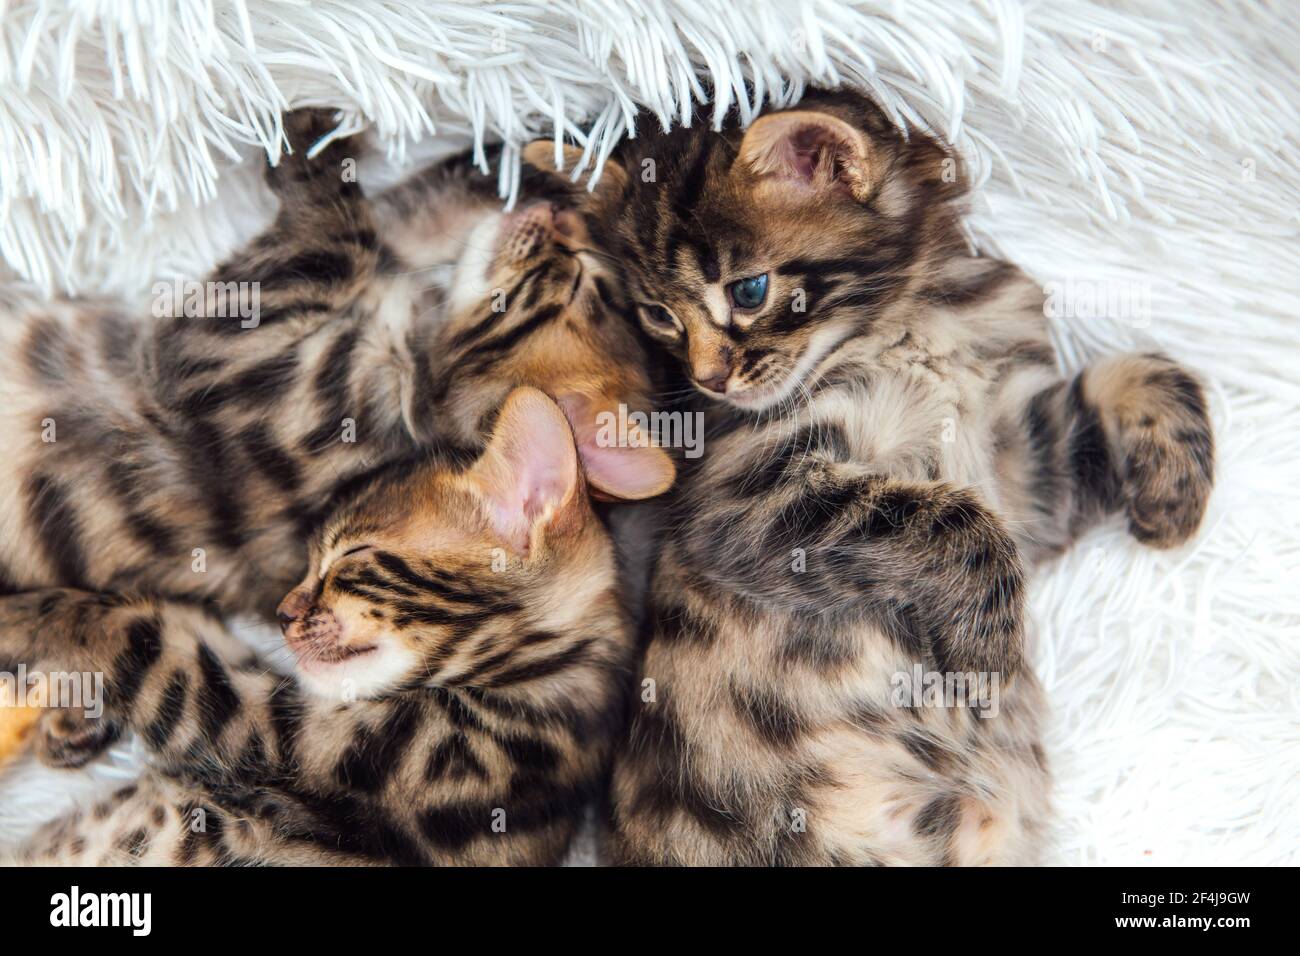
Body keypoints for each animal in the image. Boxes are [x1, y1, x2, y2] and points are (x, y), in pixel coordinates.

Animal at [0, 106, 670, 764]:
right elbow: (413, 208)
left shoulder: (227, 358)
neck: (414, 379)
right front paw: (569, 138)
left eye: (584, 284)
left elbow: (336, 240)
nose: (564, 217)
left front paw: (303, 145)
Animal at [3, 385, 634, 863]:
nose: (282, 613)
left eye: (352, 557)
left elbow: (147, 630)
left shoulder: (298, 739)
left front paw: (20, 617)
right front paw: (69, 719)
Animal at [530, 87, 1216, 868]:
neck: (913, 320)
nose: (708, 380)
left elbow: (1146, 372)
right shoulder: (744, 493)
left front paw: (1175, 503)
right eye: (658, 315)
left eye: (750, 290)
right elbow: (954, 518)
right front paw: (988, 649)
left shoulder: (1024, 466)